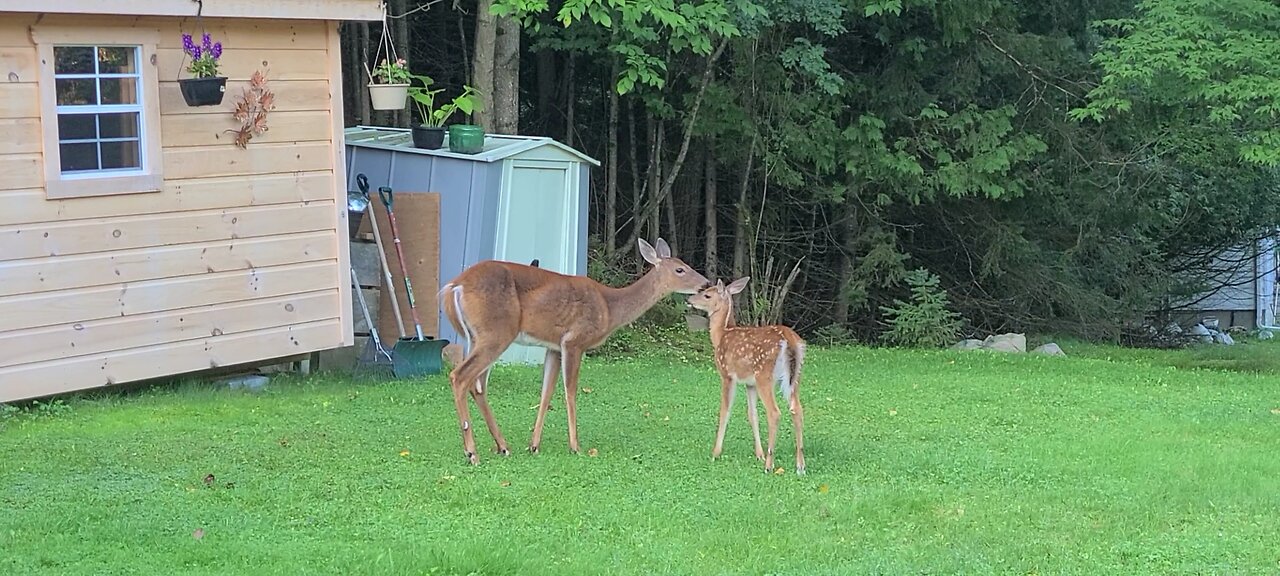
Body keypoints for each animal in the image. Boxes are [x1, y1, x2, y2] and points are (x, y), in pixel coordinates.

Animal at [442, 236, 716, 463]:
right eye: (680, 269)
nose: (706, 284)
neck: (610, 308)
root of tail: (455, 286)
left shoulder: (553, 346)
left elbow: (546, 393)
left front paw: (534, 445)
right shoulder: (574, 341)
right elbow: (570, 392)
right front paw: (575, 446)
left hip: (477, 336)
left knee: (478, 386)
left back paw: (503, 446)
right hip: (496, 332)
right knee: (460, 377)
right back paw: (472, 453)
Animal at [686, 276, 803, 473]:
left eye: (707, 295)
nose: (689, 300)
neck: (720, 334)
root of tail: (789, 339)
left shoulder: (727, 375)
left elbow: (725, 410)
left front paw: (715, 453)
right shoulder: (750, 384)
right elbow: (752, 415)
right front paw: (759, 454)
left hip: (765, 375)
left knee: (774, 412)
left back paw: (769, 465)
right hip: (794, 377)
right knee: (797, 409)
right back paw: (800, 465)